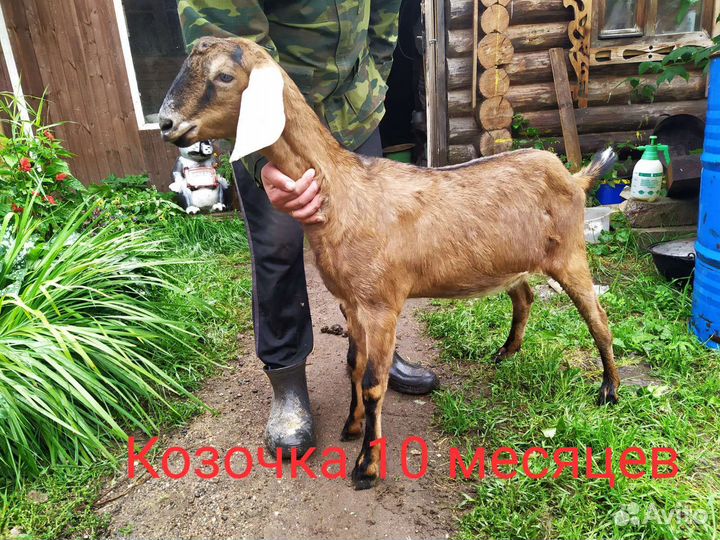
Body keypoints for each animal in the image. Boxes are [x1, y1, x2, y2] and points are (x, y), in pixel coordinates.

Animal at [159, 37, 621, 490]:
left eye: (224, 76)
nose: (165, 123)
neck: (342, 192)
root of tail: (574, 176)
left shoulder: (380, 305)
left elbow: (372, 382)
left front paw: (366, 466)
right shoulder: (351, 303)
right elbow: (353, 365)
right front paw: (351, 425)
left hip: (569, 254)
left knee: (598, 317)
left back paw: (609, 391)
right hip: (513, 261)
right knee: (524, 297)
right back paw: (506, 353)